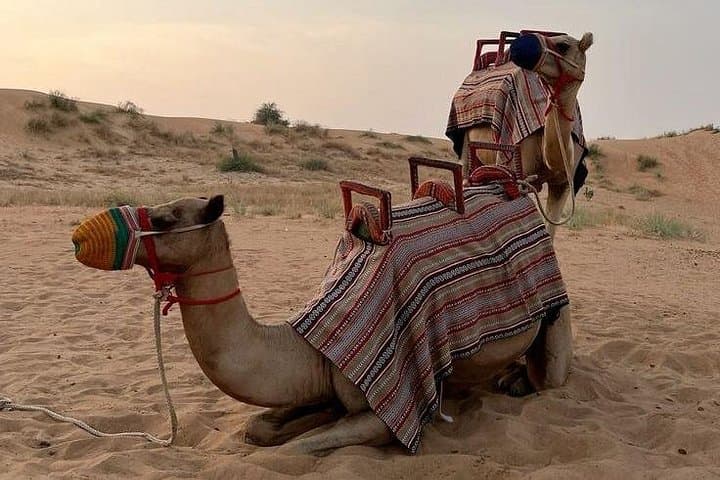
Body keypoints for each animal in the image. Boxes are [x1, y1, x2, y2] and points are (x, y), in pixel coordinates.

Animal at [72, 195, 572, 454]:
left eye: (162, 219)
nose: (79, 235)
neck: (305, 345)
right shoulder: (322, 380)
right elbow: (261, 428)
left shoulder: (385, 408)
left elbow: (300, 447)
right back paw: (507, 377)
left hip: (555, 309)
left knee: (553, 373)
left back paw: (520, 381)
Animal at [459, 32, 593, 238]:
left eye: (563, 46)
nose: (520, 47)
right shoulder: (518, 175)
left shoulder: (564, 184)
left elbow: (551, 231)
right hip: (466, 140)